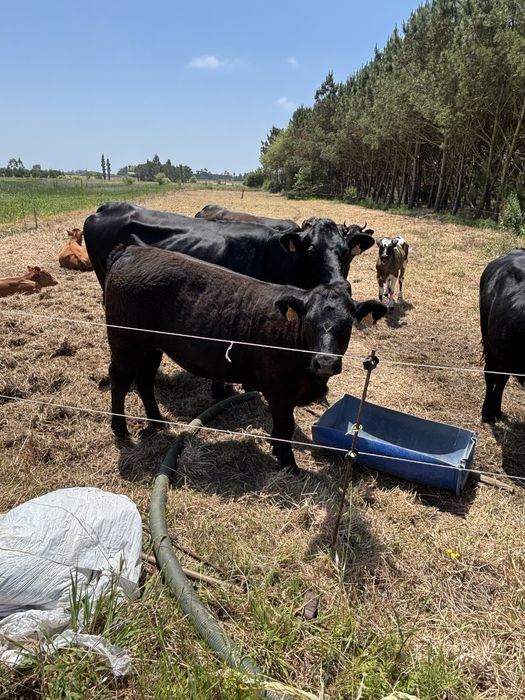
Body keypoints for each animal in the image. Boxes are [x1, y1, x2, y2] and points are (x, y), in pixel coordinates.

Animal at [105, 245, 387, 472]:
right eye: (308, 322)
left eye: (348, 324)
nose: (325, 362)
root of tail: (132, 251)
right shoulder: (277, 389)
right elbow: (285, 425)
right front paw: (289, 465)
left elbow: (280, 428)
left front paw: (276, 448)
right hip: (126, 345)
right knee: (120, 381)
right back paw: (120, 430)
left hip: (152, 348)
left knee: (145, 380)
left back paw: (157, 421)